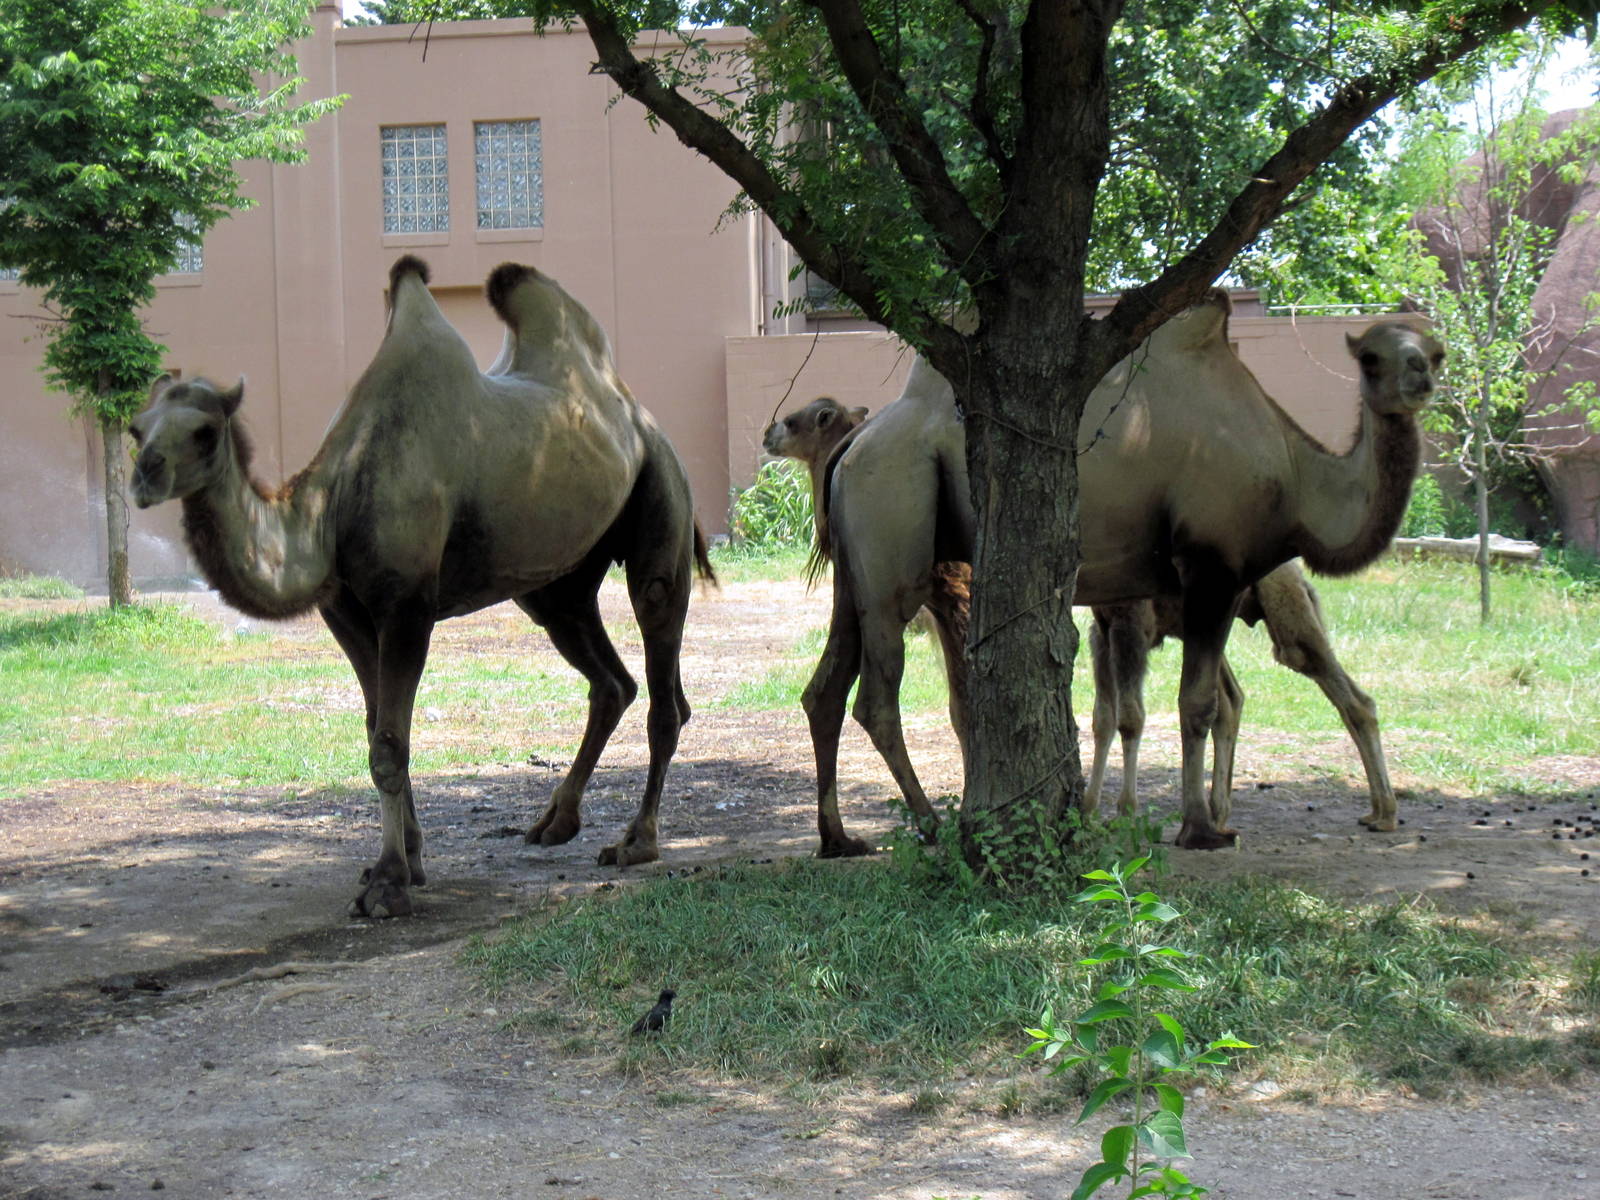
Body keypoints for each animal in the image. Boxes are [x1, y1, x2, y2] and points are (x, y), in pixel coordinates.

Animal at [129, 255, 714, 918]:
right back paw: (555, 822)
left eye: (203, 431)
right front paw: (406, 860)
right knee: (610, 680)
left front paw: (388, 884)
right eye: (136, 428)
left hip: (661, 495)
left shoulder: (407, 604)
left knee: (662, 659)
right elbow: (376, 727)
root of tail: (641, 420)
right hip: (555, 584)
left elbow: (389, 744)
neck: (335, 504)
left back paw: (636, 842)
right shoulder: (347, 612)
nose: (144, 474)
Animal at [1084, 559, 1398, 832]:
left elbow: (1130, 718)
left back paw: (1385, 814)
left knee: (1352, 699)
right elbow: (1103, 720)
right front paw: (1089, 808)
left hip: (1287, 612)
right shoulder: (1100, 631)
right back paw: (1218, 814)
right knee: (1231, 700)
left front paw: (1125, 812)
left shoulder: (1132, 621)